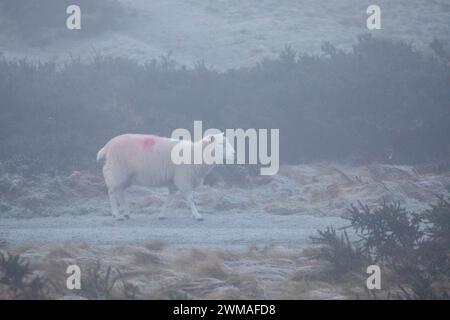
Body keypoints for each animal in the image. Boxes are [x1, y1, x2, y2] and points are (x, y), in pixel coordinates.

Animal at [96, 132, 236, 220]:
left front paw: (161, 215)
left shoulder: (174, 182)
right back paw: (117, 215)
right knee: (112, 192)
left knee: (119, 193)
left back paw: (126, 213)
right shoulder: (183, 179)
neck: (196, 153)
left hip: (125, 176)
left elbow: (169, 199)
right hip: (116, 171)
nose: (234, 154)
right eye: (221, 144)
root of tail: (107, 147)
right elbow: (190, 199)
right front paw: (197, 215)